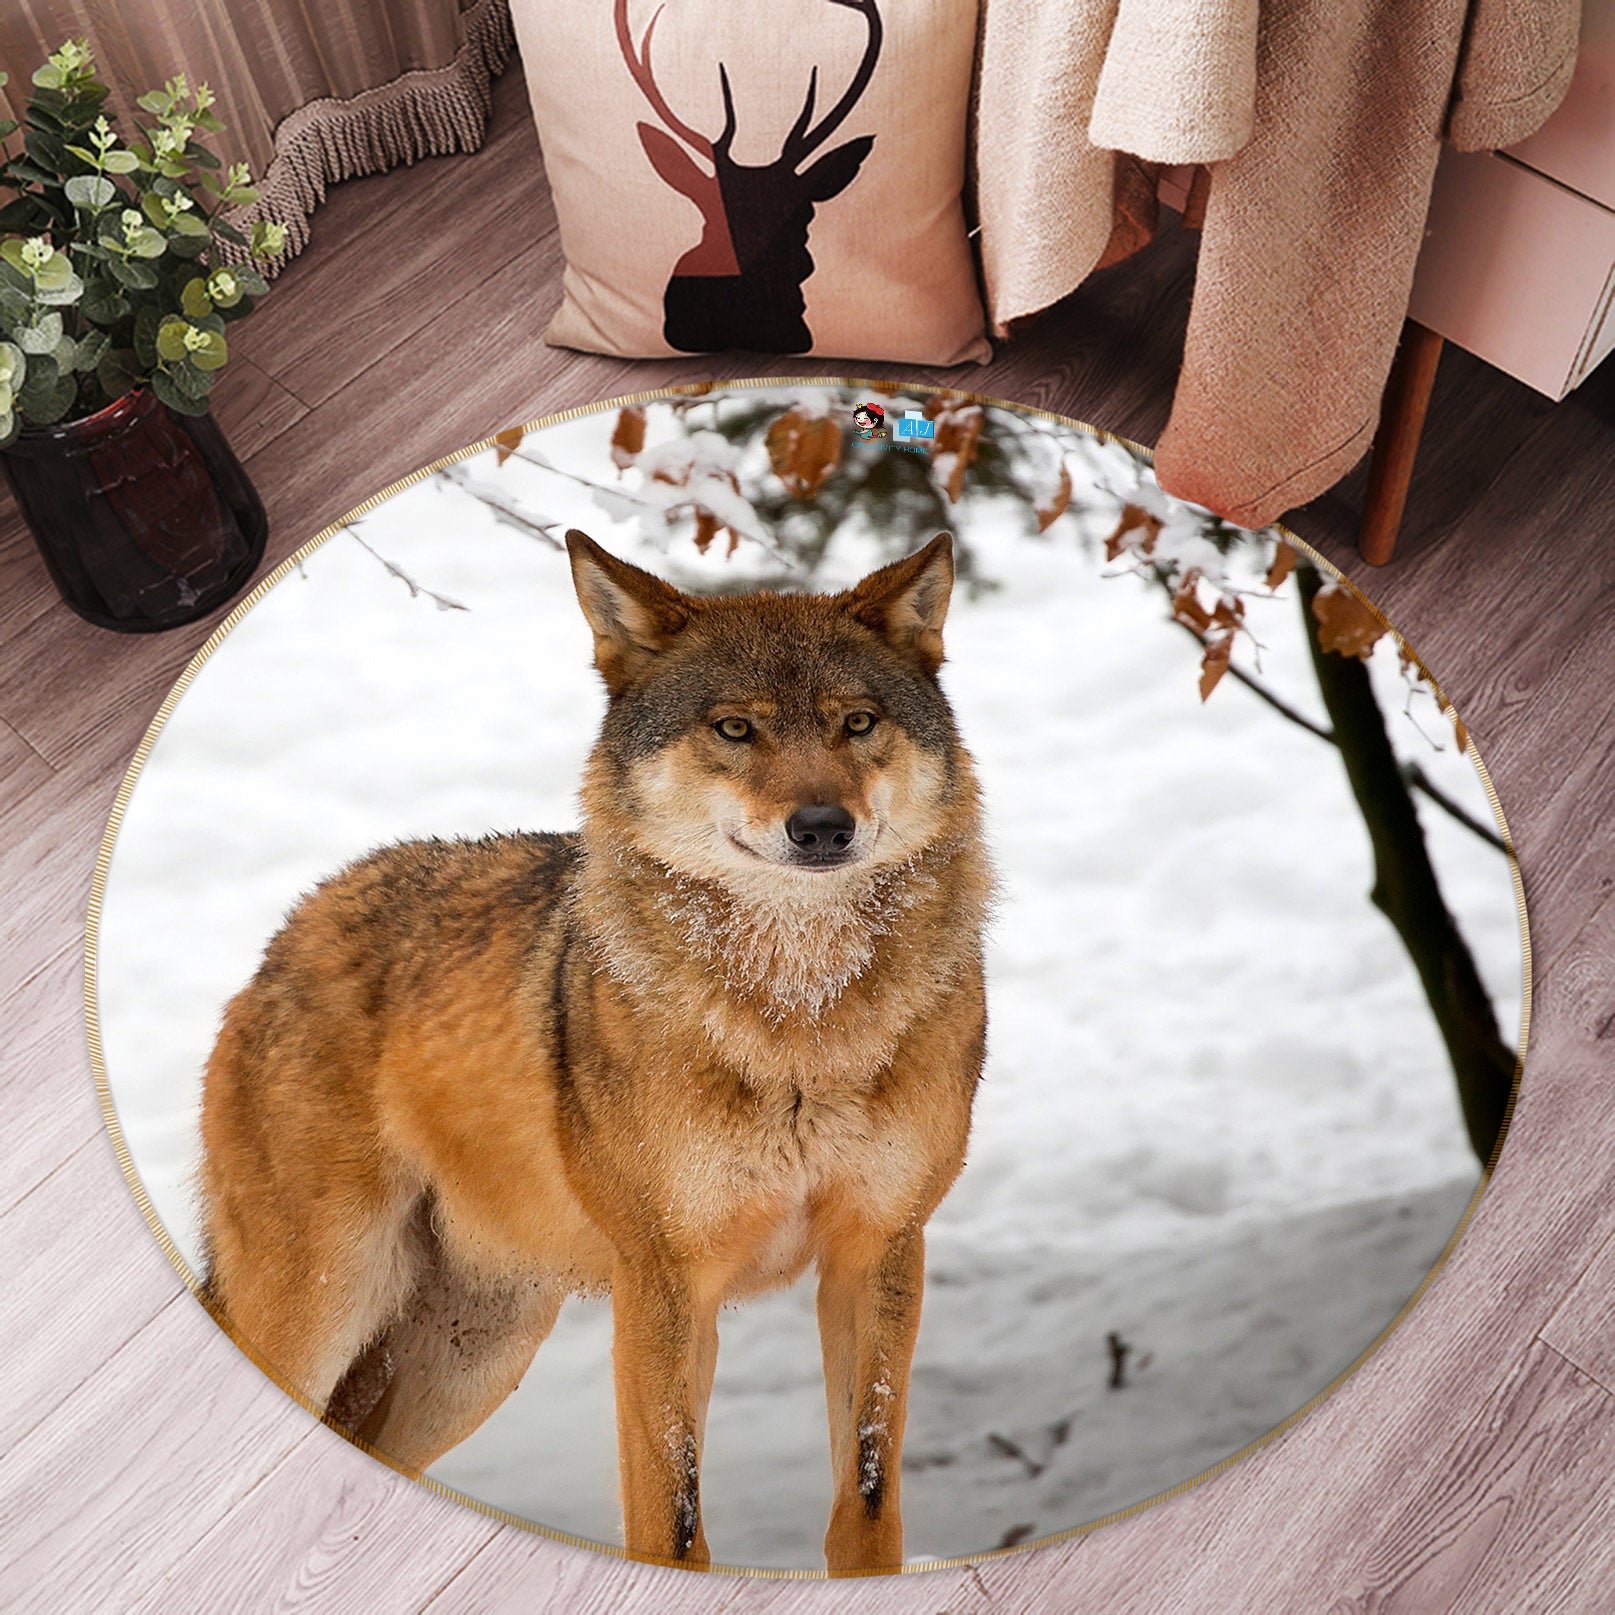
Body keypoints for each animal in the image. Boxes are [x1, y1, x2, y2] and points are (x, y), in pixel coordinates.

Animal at [197, 529, 993, 1574]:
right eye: (734, 730)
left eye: (857, 723)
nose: (822, 825)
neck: (799, 1021)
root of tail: (283, 937)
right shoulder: (662, 1283)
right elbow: (672, 1515)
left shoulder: (879, 1247)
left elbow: (864, 1495)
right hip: (326, 1308)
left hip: (473, 1355)